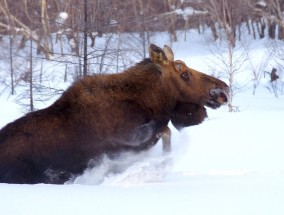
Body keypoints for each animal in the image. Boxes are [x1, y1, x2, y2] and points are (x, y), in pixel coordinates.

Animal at [0, 44, 229, 185]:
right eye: (185, 73)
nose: (223, 89)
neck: (153, 102)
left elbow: (165, 130)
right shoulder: (128, 139)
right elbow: (165, 131)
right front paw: (161, 165)